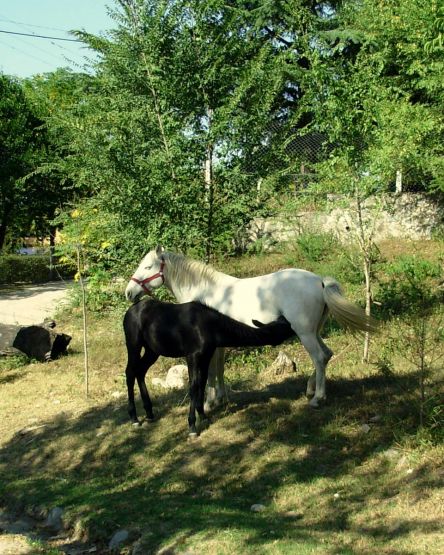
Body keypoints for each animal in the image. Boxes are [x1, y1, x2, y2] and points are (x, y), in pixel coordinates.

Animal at [123, 300, 294, 434]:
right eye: (286, 328)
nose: (295, 330)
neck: (212, 329)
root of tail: (128, 312)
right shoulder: (192, 355)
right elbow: (193, 386)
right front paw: (192, 425)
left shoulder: (206, 355)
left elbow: (202, 382)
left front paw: (203, 416)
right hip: (133, 343)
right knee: (130, 372)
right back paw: (134, 417)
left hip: (152, 350)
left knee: (140, 371)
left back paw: (149, 413)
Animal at [125, 247, 378, 408]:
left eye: (147, 266)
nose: (129, 292)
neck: (203, 294)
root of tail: (319, 281)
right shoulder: (219, 344)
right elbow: (219, 370)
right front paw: (221, 398)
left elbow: (210, 373)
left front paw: (209, 402)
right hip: (314, 331)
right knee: (327, 354)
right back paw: (310, 389)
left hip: (305, 333)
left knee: (318, 357)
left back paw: (318, 398)